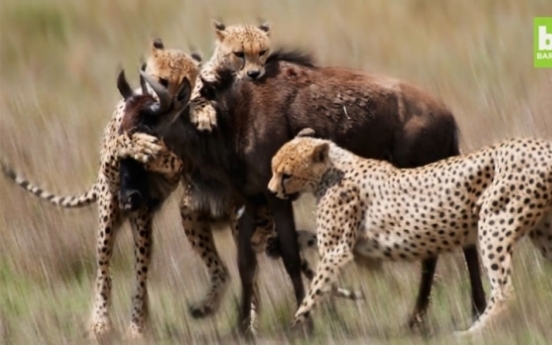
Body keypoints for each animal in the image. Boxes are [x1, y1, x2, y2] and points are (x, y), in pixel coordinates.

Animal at [268, 129, 552, 334]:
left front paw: (294, 327)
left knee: (504, 293)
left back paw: (469, 334)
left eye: (286, 174)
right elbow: (309, 241)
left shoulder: (338, 253)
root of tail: (540, 144)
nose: (271, 191)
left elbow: (314, 291)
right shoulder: (358, 251)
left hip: (493, 226)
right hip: (542, 234)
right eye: (273, 168)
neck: (332, 169)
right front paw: (277, 243)